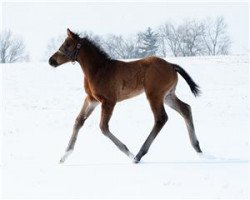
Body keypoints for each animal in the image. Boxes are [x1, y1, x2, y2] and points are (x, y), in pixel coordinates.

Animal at [49, 28, 203, 163]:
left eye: (67, 45)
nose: (51, 61)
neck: (99, 70)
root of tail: (171, 65)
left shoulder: (109, 101)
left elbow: (103, 127)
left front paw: (129, 153)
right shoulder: (92, 99)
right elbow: (78, 121)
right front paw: (64, 156)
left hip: (154, 95)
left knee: (161, 118)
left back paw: (138, 155)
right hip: (168, 95)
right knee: (186, 109)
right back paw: (198, 149)